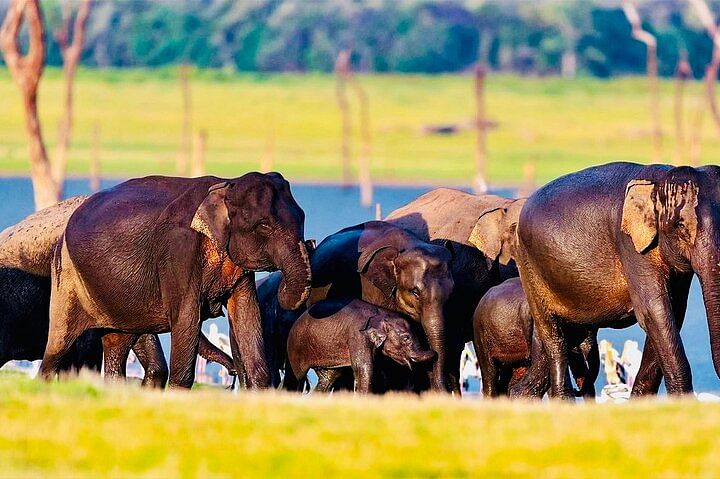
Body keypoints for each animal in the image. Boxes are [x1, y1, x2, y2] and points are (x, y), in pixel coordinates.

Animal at [39, 172, 310, 390]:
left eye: (303, 217)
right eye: (264, 226)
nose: (232, 371)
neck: (226, 184)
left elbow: (246, 314)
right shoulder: (178, 253)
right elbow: (187, 317)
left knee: (118, 343)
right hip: (67, 278)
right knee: (57, 347)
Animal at [286, 298, 434, 396]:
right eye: (406, 338)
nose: (435, 353)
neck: (381, 315)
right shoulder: (357, 335)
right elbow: (364, 366)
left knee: (329, 377)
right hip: (295, 347)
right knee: (298, 377)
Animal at [516, 163, 720, 400]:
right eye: (679, 226)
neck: (660, 180)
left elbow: (673, 312)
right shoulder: (631, 246)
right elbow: (654, 311)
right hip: (529, 269)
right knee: (553, 337)